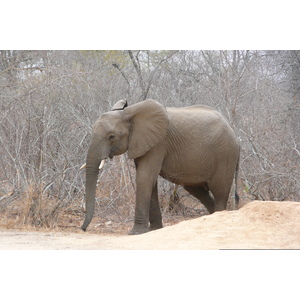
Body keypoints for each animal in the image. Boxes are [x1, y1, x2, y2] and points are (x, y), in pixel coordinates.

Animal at [81, 99, 240, 236]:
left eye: (111, 136)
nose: (83, 228)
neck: (129, 113)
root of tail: (235, 135)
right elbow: (150, 181)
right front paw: (154, 230)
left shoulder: (158, 143)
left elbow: (144, 178)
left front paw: (135, 233)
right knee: (197, 190)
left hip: (225, 155)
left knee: (220, 191)